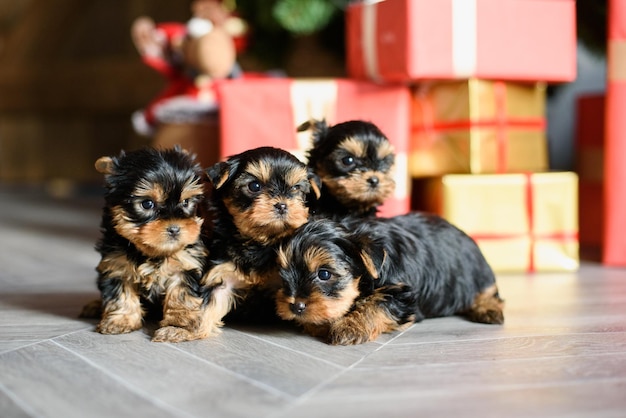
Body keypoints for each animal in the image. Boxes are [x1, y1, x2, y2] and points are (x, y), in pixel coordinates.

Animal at [80, 147, 213, 342]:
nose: (175, 229)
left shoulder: (186, 265)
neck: (152, 252)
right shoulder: (116, 264)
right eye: (147, 204)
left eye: (186, 202)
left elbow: (182, 297)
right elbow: (120, 294)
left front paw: (176, 328)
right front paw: (120, 320)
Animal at [272, 214, 502, 344]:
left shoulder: (402, 294)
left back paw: (489, 310)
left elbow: (376, 304)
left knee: (490, 292)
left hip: (477, 274)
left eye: (324, 274)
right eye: (283, 275)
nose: (295, 306)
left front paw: (349, 326)